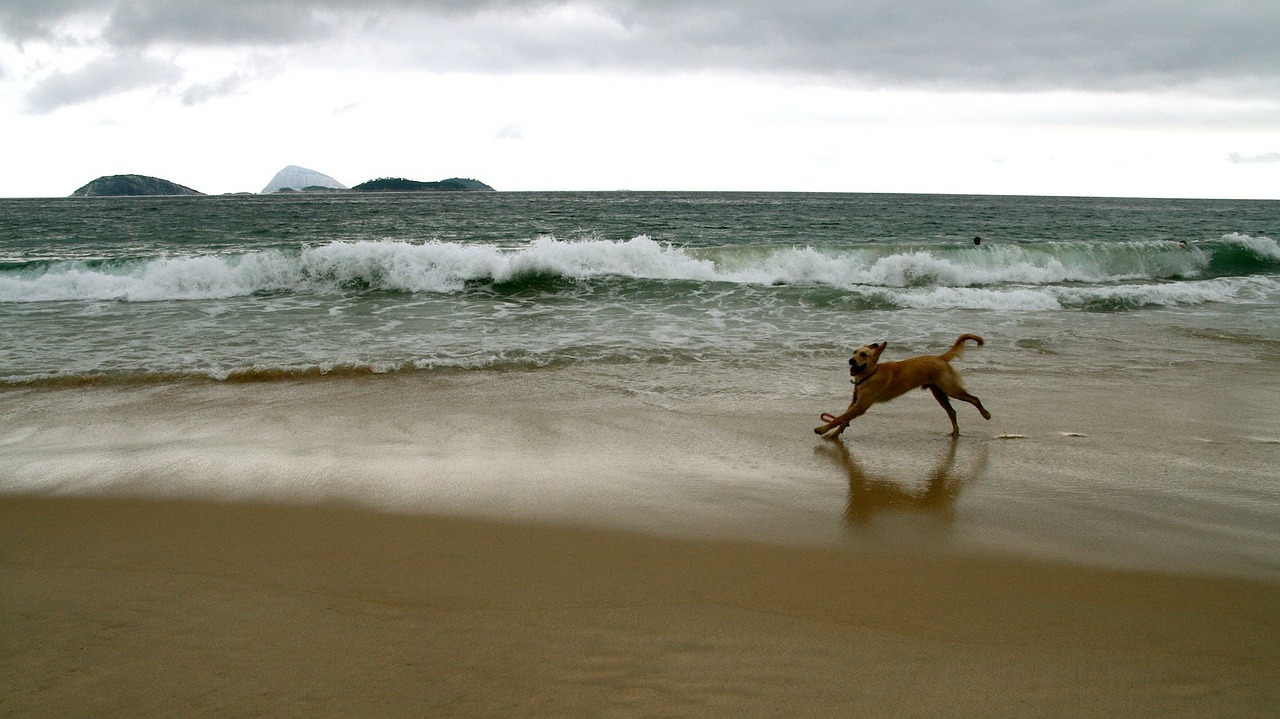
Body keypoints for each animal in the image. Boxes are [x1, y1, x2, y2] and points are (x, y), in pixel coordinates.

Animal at [814, 335, 993, 437]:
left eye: (863, 354)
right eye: (854, 352)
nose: (851, 361)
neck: (870, 375)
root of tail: (940, 358)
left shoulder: (860, 406)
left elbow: (839, 418)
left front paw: (823, 429)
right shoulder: (854, 403)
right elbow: (843, 420)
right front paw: (834, 434)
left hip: (950, 389)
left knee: (974, 398)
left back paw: (985, 414)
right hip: (939, 392)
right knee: (952, 411)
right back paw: (955, 431)